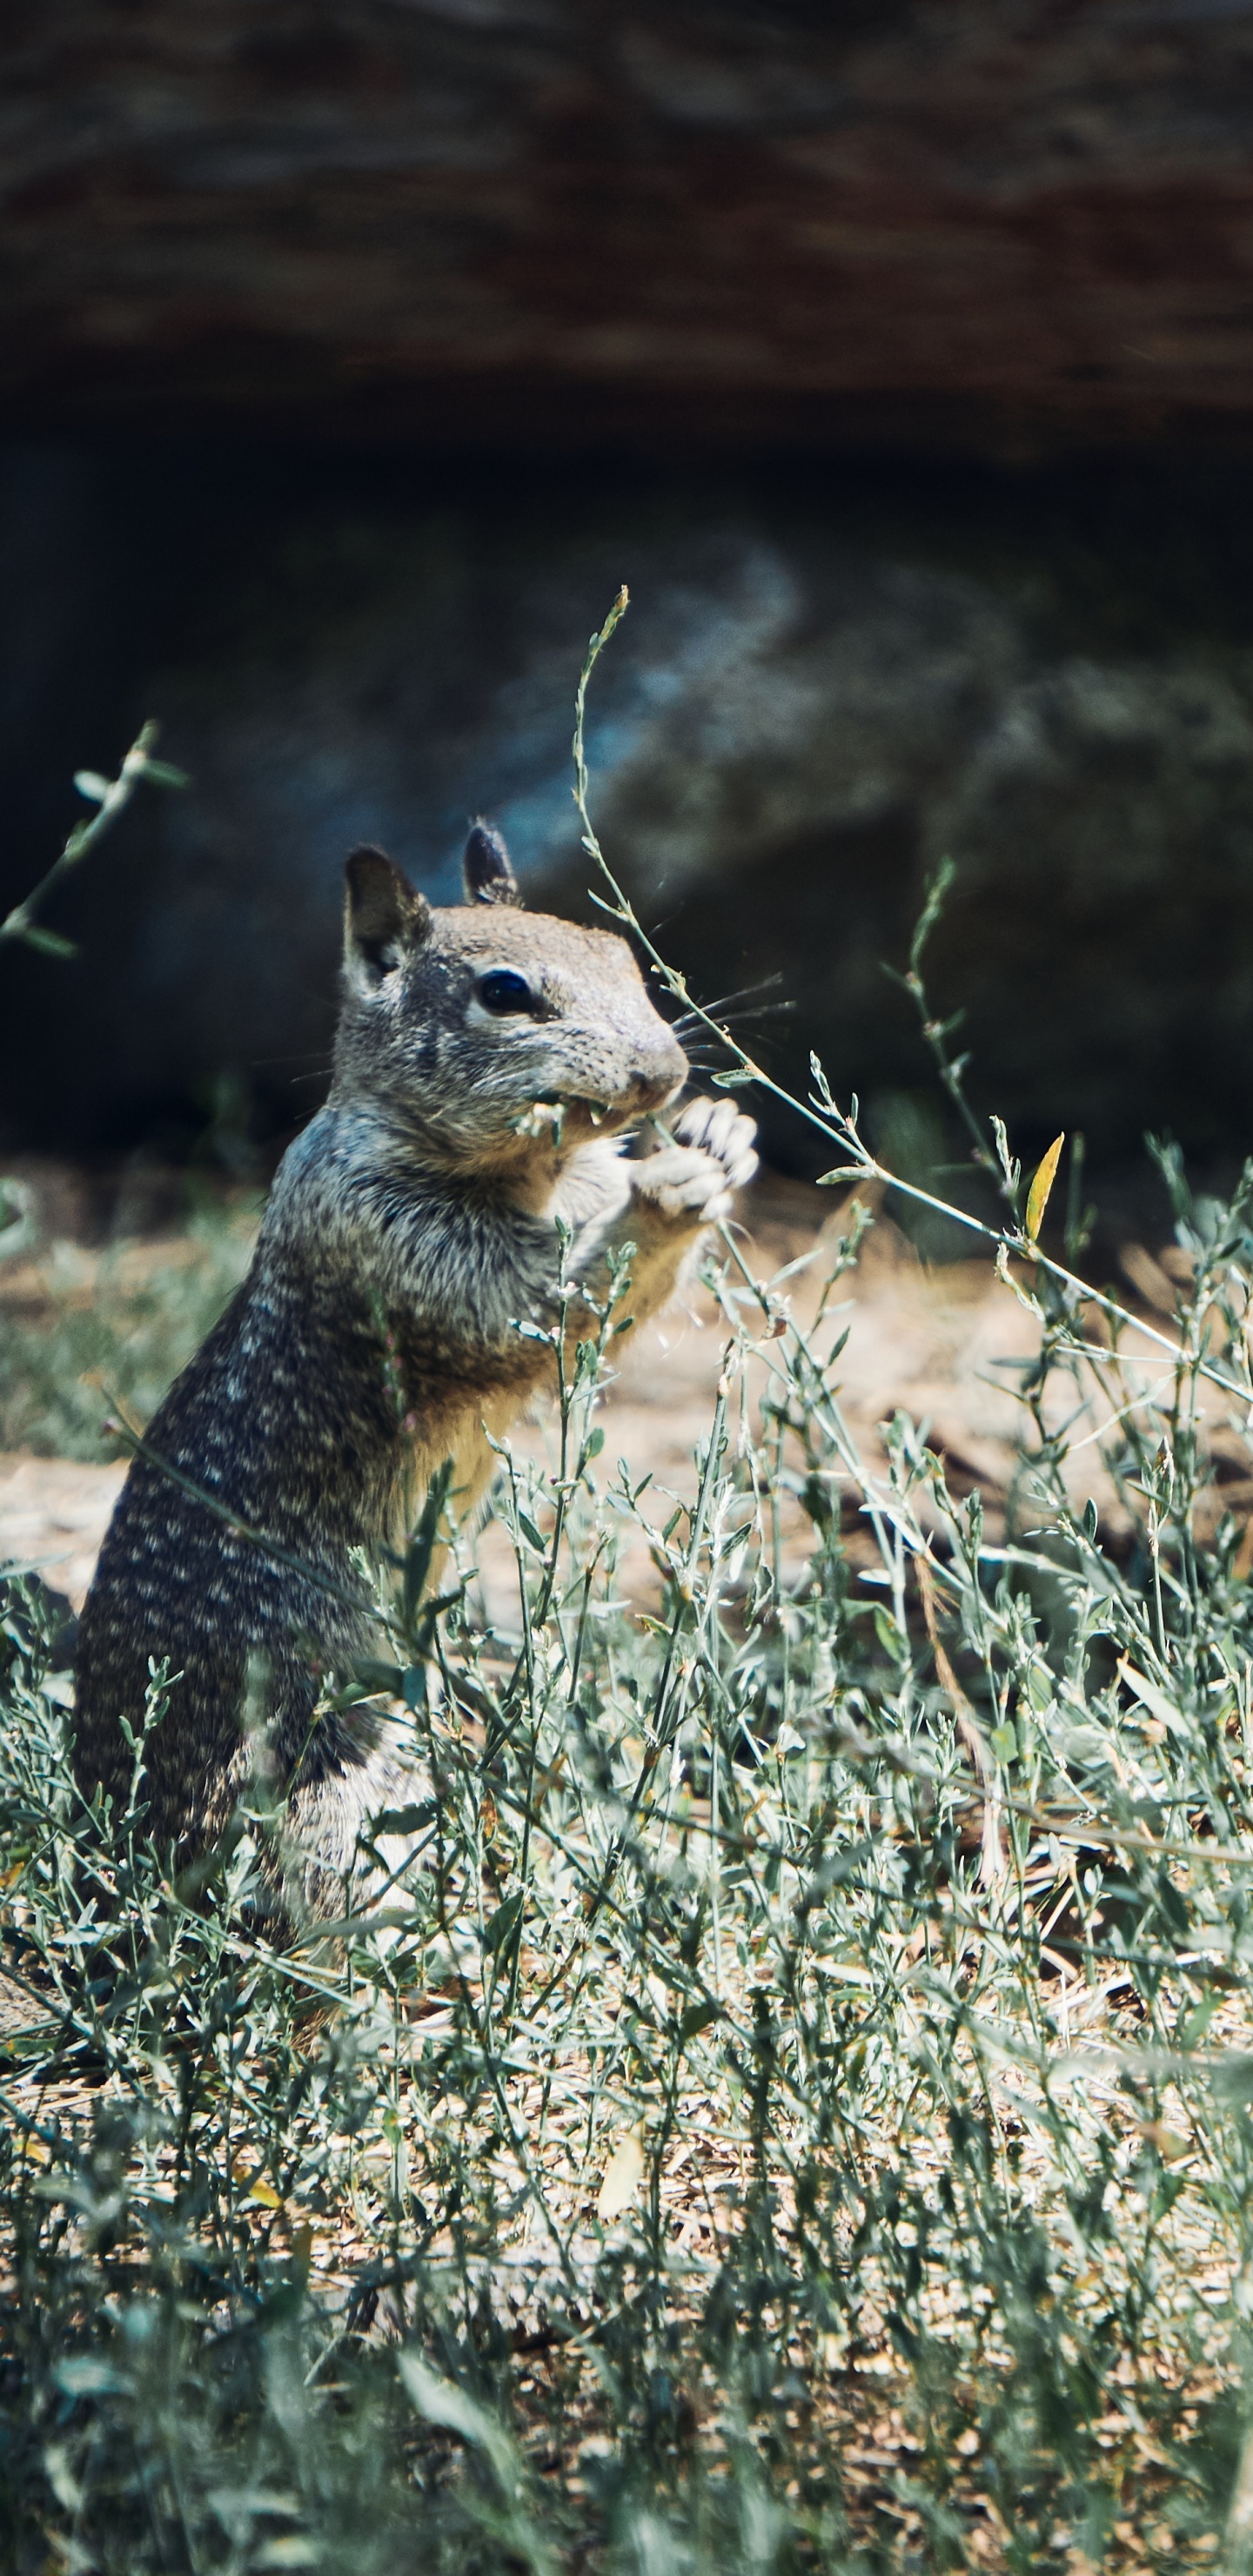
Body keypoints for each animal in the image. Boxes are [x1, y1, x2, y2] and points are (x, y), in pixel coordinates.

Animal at [73, 825, 758, 1915]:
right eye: (505, 992)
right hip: (322, 1774)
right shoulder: (396, 1241)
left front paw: (718, 1140)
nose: (664, 1071)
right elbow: (537, 1306)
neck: (536, 1176)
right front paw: (667, 1185)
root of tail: (106, 1834)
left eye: (622, 954)